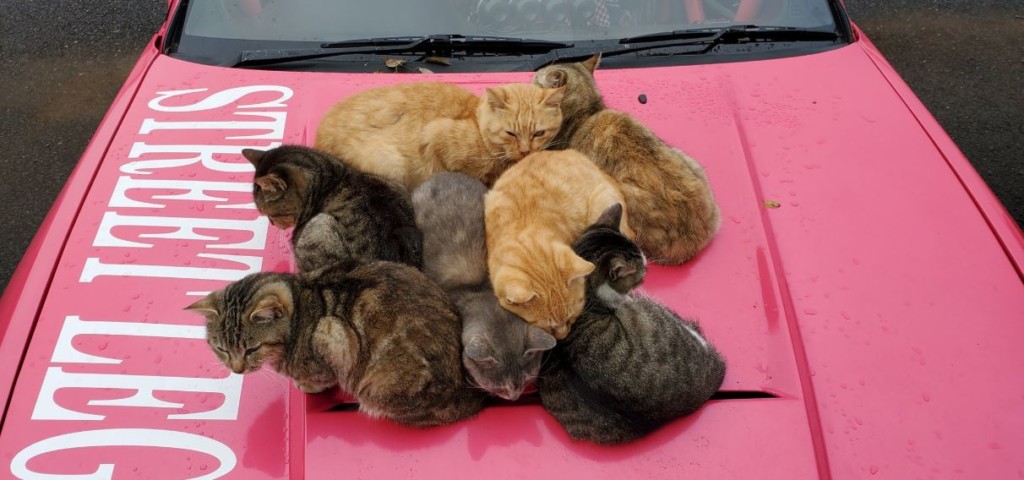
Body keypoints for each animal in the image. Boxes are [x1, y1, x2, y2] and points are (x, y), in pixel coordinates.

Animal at [186, 261, 485, 427]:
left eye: (252, 349)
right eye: (222, 349)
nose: (236, 370)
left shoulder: (332, 334)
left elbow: (322, 377)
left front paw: (305, 384)